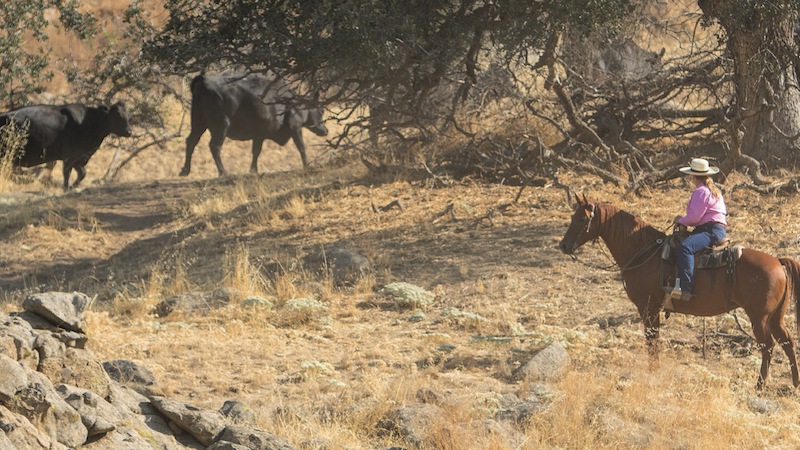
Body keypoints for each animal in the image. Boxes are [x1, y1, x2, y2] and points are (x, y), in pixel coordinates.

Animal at [0, 102, 132, 190]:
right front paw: (66, 187)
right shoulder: (70, 156)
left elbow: (82, 173)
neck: (87, 122)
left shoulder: (79, 157)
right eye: (117, 116)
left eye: (128, 116)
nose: (129, 132)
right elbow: (67, 172)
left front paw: (73, 186)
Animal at [180, 73, 328, 177]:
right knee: (214, 146)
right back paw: (223, 172)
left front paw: (253, 170)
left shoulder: (259, 134)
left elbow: (256, 151)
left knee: (191, 141)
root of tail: (202, 80)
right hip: (220, 125)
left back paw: (185, 170)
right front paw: (307, 166)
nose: (325, 130)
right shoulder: (295, 127)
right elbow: (301, 147)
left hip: (198, 123)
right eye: (321, 110)